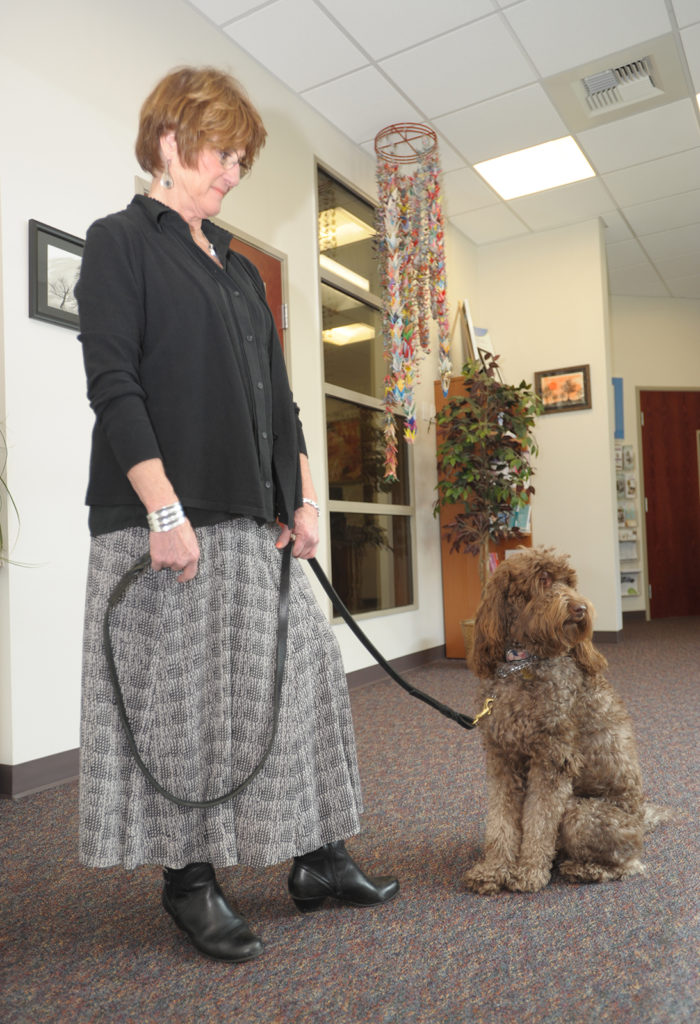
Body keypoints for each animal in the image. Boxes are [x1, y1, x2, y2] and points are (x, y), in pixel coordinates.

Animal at [464, 548, 667, 892]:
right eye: (543, 580)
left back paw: (582, 868)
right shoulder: (502, 757)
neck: (522, 665)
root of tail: (642, 819)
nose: (580, 608)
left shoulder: (553, 759)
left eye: (570, 582)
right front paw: (493, 869)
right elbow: (500, 820)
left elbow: (540, 821)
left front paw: (529, 871)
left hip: (579, 812)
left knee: (628, 864)